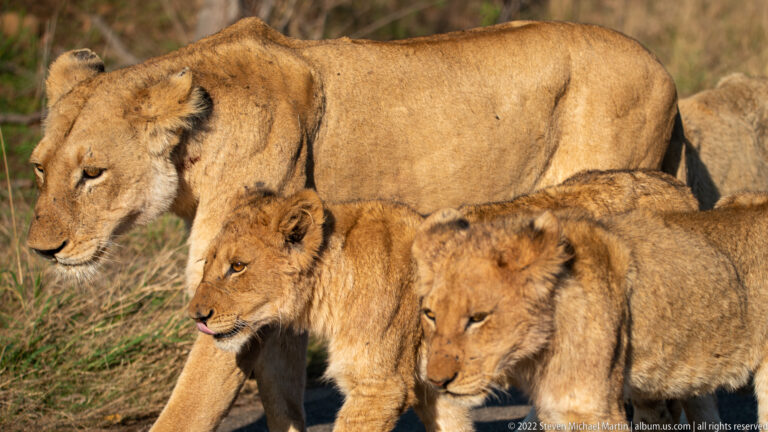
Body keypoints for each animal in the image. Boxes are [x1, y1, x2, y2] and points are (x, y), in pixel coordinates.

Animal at [27, 17, 679, 431]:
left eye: (92, 173)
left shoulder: (237, 299)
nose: (40, 251)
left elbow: (187, 411)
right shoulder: (279, 285)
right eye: (38, 168)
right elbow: (282, 394)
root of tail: (659, 65)